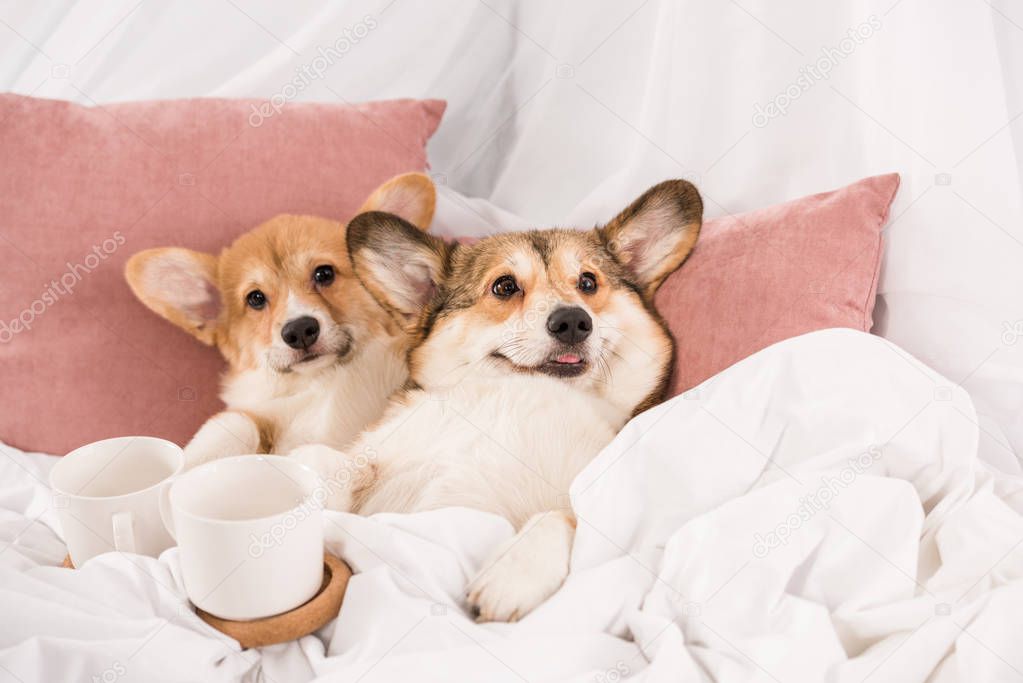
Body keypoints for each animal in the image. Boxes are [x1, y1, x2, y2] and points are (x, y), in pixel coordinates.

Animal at [124, 173, 435, 466]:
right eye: (255, 298)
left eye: (324, 273)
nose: (300, 331)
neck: (322, 382)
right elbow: (236, 421)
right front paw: (192, 463)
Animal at [292, 178, 699, 621]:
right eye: (505, 286)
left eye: (588, 282)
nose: (573, 321)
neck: (517, 394)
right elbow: (328, 461)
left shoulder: (603, 505)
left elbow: (561, 518)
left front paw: (514, 574)